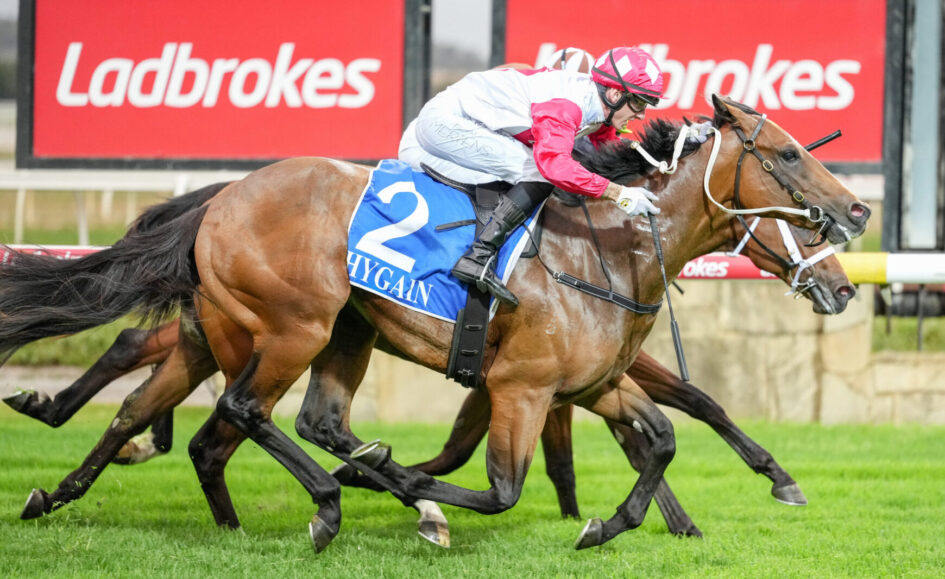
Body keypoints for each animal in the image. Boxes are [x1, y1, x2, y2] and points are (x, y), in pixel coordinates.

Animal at [0, 95, 870, 552]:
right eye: (786, 155)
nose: (855, 214)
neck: (608, 248)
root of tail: (224, 196)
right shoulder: (521, 386)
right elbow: (499, 487)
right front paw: (415, 496)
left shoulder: (591, 381)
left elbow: (659, 437)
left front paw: (611, 522)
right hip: (291, 326)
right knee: (239, 410)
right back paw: (333, 498)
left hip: (304, 331)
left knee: (240, 419)